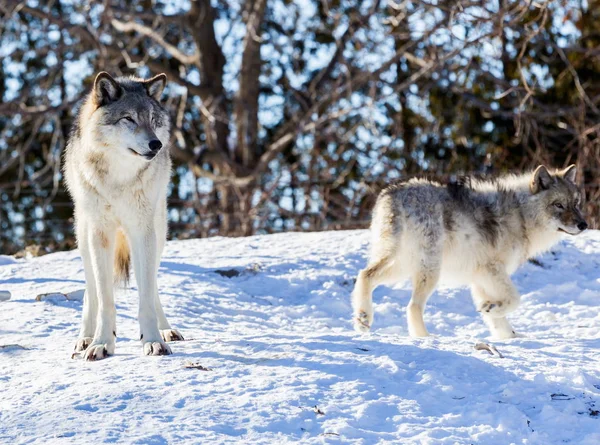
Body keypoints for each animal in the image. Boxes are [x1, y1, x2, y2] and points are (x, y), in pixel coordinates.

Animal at [65, 71, 183, 360]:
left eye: (152, 120)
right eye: (128, 118)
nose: (156, 144)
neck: (119, 179)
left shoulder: (142, 231)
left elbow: (146, 295)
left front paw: (153, 340)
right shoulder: (100, 233)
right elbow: (105, 299)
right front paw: (100, 343)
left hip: (158, 232)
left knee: (152, 284)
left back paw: (166, 330)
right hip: (84, 236)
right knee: (91, 290)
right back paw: (84, 338)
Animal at [352, 165, 584, 338]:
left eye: (576, 203)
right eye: (559, 205)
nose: (584, 224)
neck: (521, 214)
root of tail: (395, 193)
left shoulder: (480, 279)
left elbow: (497, 319)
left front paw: (507, 335)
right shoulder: (492, 269)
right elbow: (514, 299)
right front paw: (495, 309)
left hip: (403, 267)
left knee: (365, 275)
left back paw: (362, 319)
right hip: (430, 270)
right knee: (412, 305)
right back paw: (425, 338)